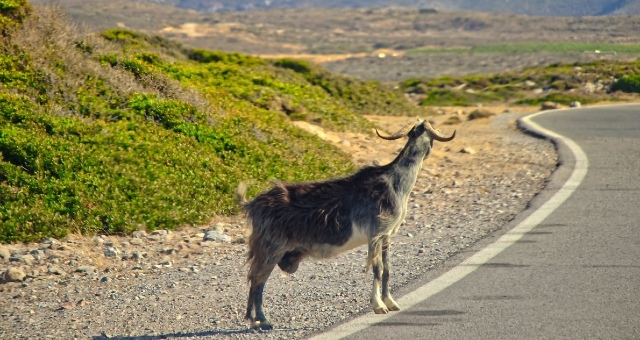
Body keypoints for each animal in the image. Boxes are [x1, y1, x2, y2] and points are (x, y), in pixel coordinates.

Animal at [235, 119, 456, 330]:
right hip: (271, 247)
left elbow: (387, 268)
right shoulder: (375, 234)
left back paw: (254, 321)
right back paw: (262, 321)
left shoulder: (386, 236)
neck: (395, 182)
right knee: (257, 280)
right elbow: (377, 269)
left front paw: (391, 302)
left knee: (254, 279)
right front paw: (378, 305)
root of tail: (253, 204)